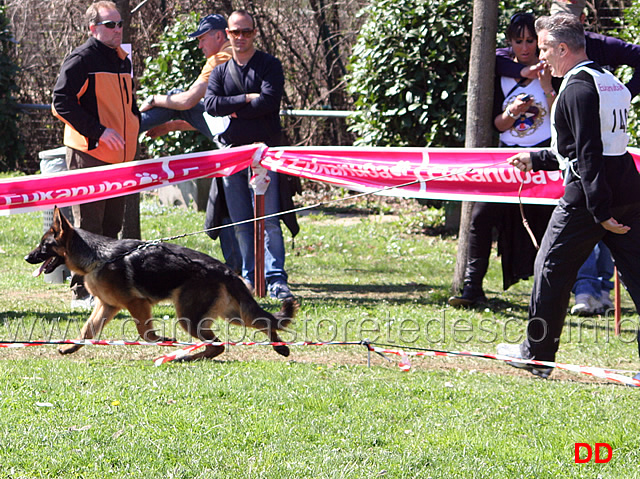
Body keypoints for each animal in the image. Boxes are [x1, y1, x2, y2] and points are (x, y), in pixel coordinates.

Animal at [24, 206, 296, 360]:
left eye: (44, 245)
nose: (27, 258)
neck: (98, 257)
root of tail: (225, 270)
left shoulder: (137, 303)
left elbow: (145, 333)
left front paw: (164, 340)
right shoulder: (107, 306)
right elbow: (87, 330)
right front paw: (71, 348)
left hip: (190, 317)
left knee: (219, 343)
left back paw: (186, 357)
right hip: (230, 314)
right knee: (258, 323)